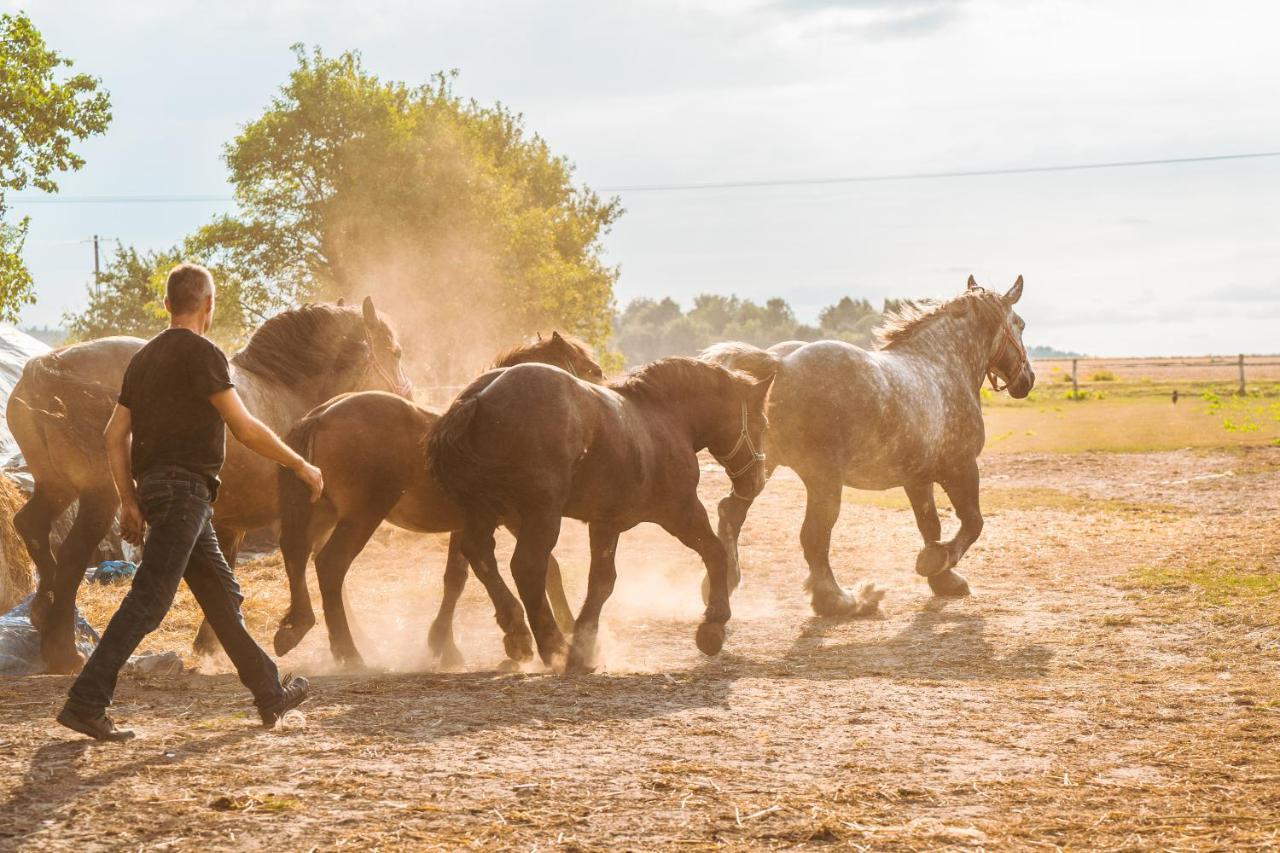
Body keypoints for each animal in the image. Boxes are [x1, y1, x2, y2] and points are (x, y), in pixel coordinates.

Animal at [8, 295, 409, 666]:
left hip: (56, 487)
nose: (407, 397)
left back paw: (42, 614)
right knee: (71, 555)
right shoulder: (310, 517)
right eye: (396, 351)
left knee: (31, 526)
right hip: (99, 499)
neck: (289, 395)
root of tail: (48, 366)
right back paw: (63, 650)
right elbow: (323, 572)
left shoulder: (229, 523)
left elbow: (226, 572)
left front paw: (209, 642)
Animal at [272, 327, 601, 666]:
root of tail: (321, 416)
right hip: (360, 518)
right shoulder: (515, 517)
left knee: (296, 554)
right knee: (330, 566)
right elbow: (545, 568)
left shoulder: (473, 524)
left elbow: (456, 578)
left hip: (321, 515)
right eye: (593, 371)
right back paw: (349, 653)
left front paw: (445, 645)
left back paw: (297, 628)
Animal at [427, 356, 768, 666]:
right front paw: (713, 625)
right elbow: (715, 552)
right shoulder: (682, 512)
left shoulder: (606, 523)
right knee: (527, 567)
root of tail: (478, 399)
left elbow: (601, 581)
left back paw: (517, 633)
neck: (661, 418)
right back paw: (552, 644)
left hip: (484, 511)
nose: (756, 481)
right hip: (541, 515)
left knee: (479, 556)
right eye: (763, 423)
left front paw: (585, 643)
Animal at [706, 272, 1034, 612]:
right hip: (823, 481)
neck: (942, 365)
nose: (1027, 380)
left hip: (759, 467)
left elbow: (930, 525)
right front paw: (936, 563)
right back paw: (838, 599)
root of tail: (779, 365)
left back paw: (725, 582)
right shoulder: (961, 467)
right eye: (1020, 324)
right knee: (814, 535)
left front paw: (943, 579)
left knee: (731, 512)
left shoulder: (917, 479)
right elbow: (972, 522)